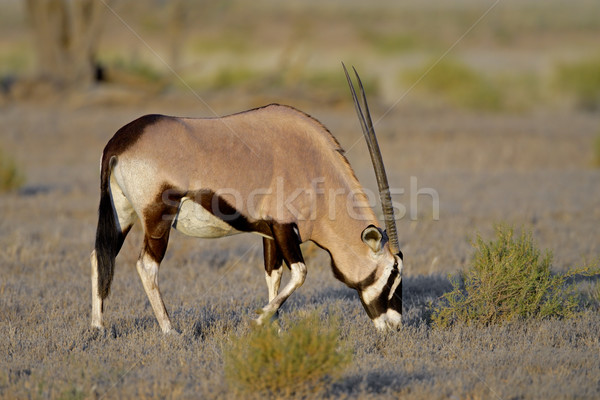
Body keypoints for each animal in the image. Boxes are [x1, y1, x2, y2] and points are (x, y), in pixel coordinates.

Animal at [91, 65, 404, 332]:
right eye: (393, 273)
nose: (396, 326)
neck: (316, 169)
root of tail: (119, 142)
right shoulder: (283, 226)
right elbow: (300, 273)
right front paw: (259, 320)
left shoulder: (269, 234)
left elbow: (274, 275)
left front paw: (274, 328)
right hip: (158, 218)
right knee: (146, 266)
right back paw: (170, 331)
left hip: (123, 214)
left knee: (100, 255)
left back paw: (98, 327)